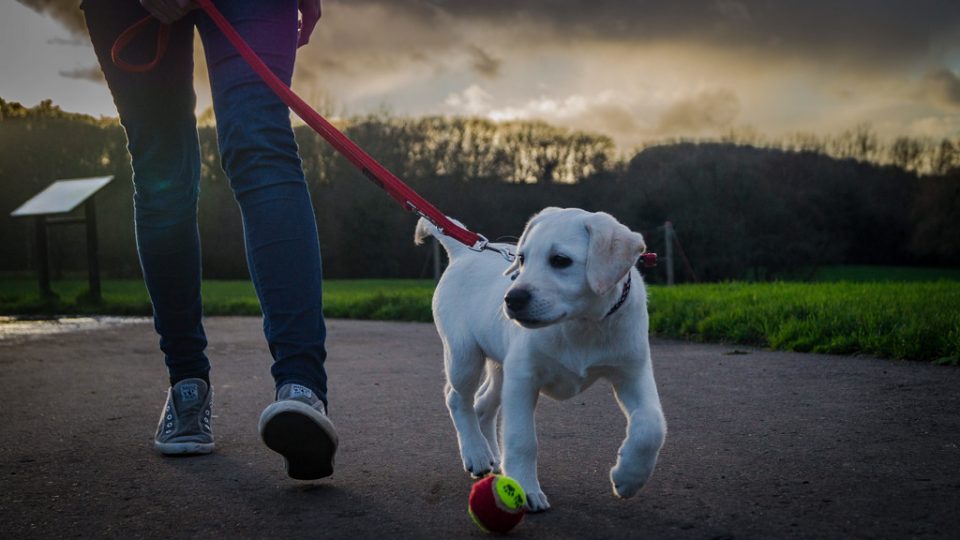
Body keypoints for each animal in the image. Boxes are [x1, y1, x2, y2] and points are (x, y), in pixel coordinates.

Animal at [412, 207, 668, 510]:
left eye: (560, 260)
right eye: (522, 258)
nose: (512, 299)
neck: (583, 324)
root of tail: (464, 253)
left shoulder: (633, 373)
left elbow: (652, 425)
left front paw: (628, 478)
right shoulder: (523, 377)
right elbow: (522, 438)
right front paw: (525, 488)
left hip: (501, 368)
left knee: (482, 404)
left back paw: (492, 457)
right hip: (465, 356)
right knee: (457, 398)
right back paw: (476, 453)